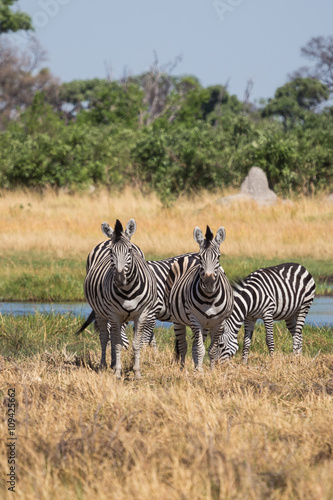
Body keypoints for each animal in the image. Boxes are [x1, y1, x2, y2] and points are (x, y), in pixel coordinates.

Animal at [82, 219, 156, 378]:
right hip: (101, 312)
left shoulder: (142, 314)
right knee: (105, 337)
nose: (120, 279)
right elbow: (116, 343)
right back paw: (104, 365)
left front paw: (137, 372)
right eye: (111, 252)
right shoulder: (114, 314)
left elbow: (136, 343)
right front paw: (117, 372)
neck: (127, 291)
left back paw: (113, 363)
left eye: (129, 250)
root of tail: (106, 240)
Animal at [166, 226, 233, 372]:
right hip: (177, 320)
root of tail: (188, 255)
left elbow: (212, 349)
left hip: (206, 324)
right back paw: (182, 369)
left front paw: (211, 371)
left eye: (218, 257)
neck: (209, 298)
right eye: (201, 257)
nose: (208, 283)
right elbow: (200, 348)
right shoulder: (195, 319)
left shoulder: (219, 322)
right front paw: (200, 373)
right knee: (183, 346)